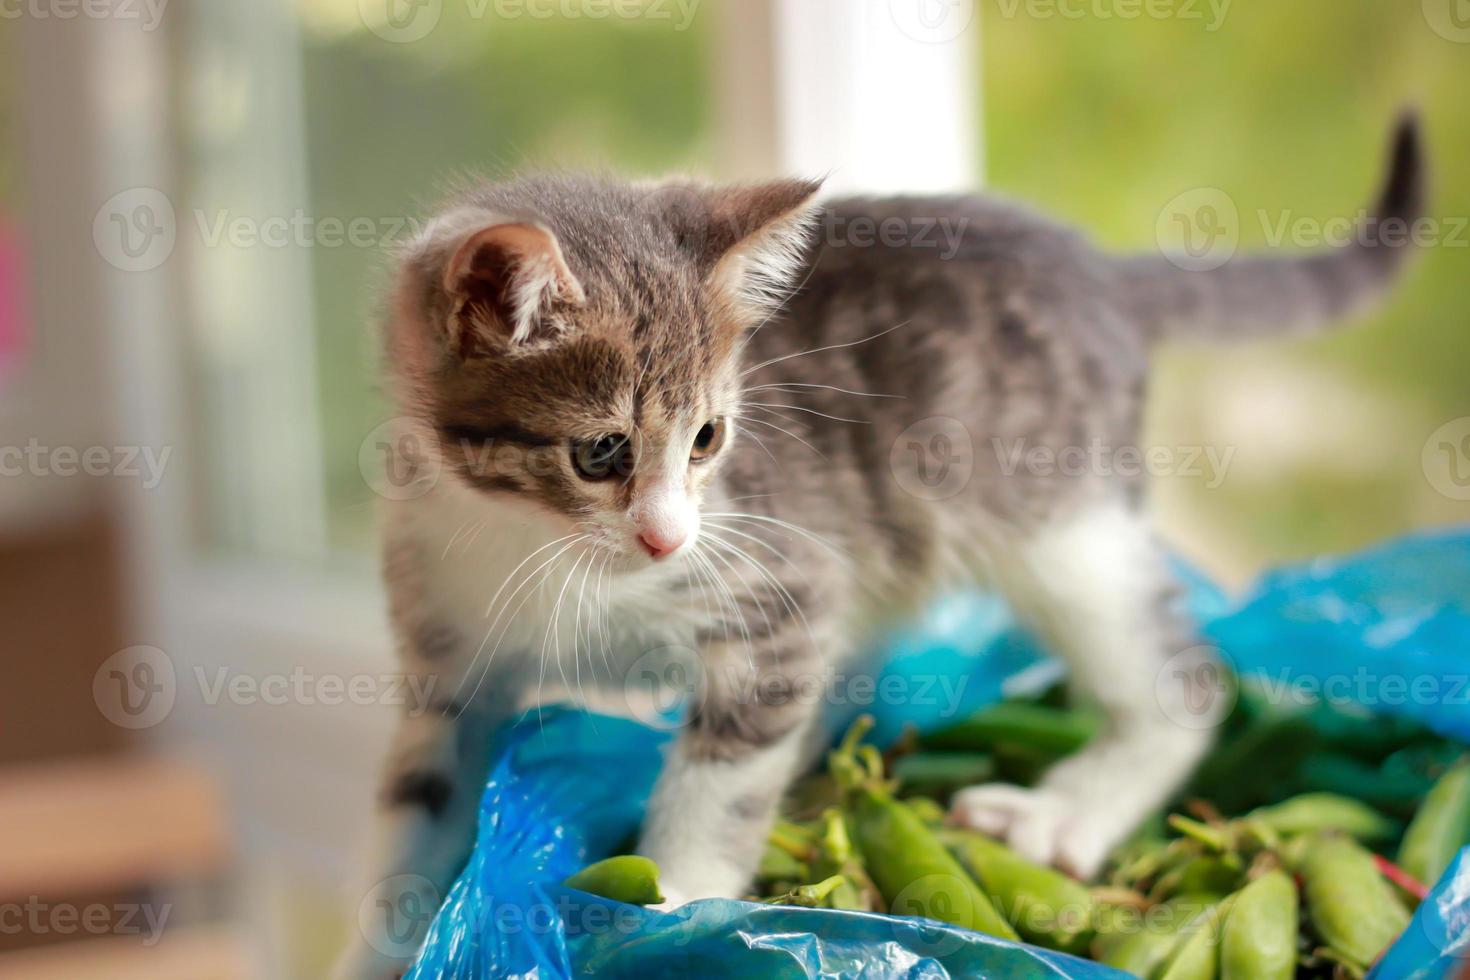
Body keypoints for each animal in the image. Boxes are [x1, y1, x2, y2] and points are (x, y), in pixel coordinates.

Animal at [336, 119, 1422, 975]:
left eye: (708, 439)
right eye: (600, 451)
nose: (668, 537)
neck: (527, 539)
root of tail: (1097, 269)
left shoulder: (780, 583)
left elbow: (723, 775)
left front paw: (678, 901)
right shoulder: (445, 659)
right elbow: (416, 805)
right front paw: (392, 941)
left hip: (1059, 521)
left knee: (1182, 673)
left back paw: (1066, 810)